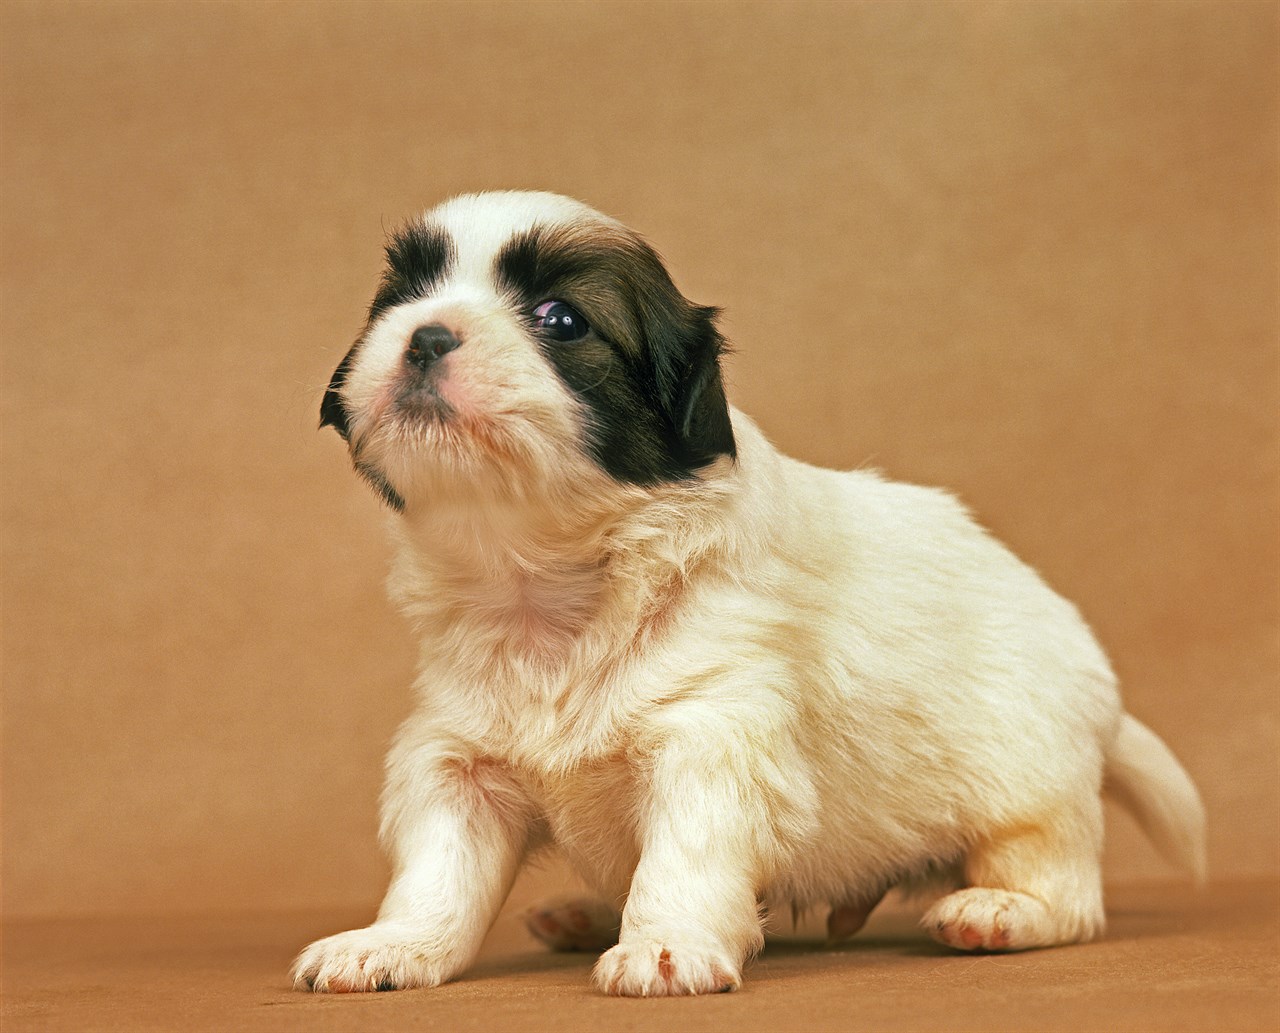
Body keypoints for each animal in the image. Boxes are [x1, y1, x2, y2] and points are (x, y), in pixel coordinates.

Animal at [294, 189, 1203, 998]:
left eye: (560, 320)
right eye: (399, 300)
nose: (424, 335)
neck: (544, 584)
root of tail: (1102, 694)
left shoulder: (711, 732)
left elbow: (684, 854)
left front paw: (664, 945)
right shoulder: (456, 758)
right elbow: (437, 872)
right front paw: (390, 944)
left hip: (1029, 787)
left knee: (1066, 888)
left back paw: (999, 910)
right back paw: (585, 912)